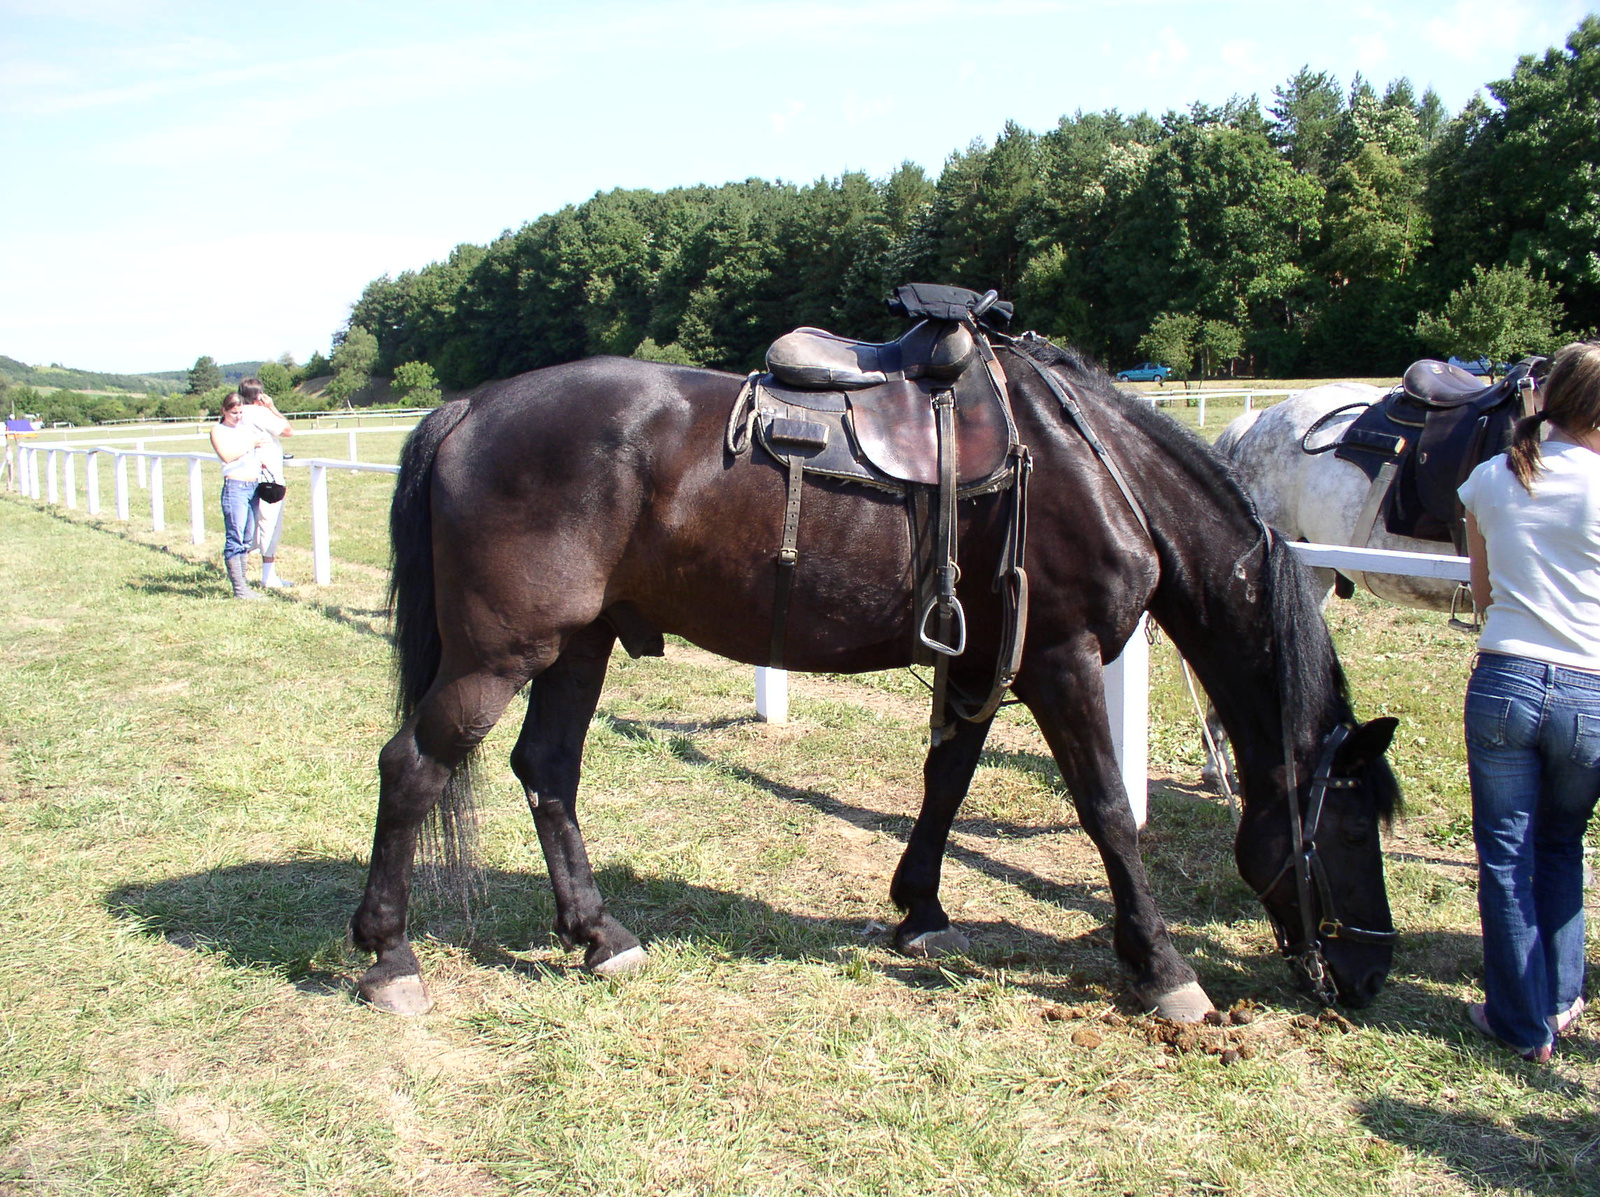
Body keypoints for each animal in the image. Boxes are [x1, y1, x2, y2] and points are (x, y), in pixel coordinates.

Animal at [353, 334, 1401, 1017]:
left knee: (548, 771)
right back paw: (390, 957)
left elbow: (946, 782)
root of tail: (471, 406)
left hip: (578, 645)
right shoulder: (1059, 661)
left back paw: (598, 935)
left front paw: (920, 911)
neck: (1096, 469)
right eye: (1351, 827)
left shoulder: (983, 659)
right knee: (413, 768)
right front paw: (1164, 967)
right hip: (499, 656)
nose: (1367, 978)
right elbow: (1108, 810)